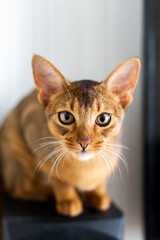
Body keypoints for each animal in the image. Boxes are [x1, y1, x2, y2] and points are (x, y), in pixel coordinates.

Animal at [0, 55, 140, 217]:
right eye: (66, 117)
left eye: (103, 118)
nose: (84, 142)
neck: (85, 170)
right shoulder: (36, 143)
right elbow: (58, 179)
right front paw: (68, 199)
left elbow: (101, 179)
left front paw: (98, 194)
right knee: (20, 189)